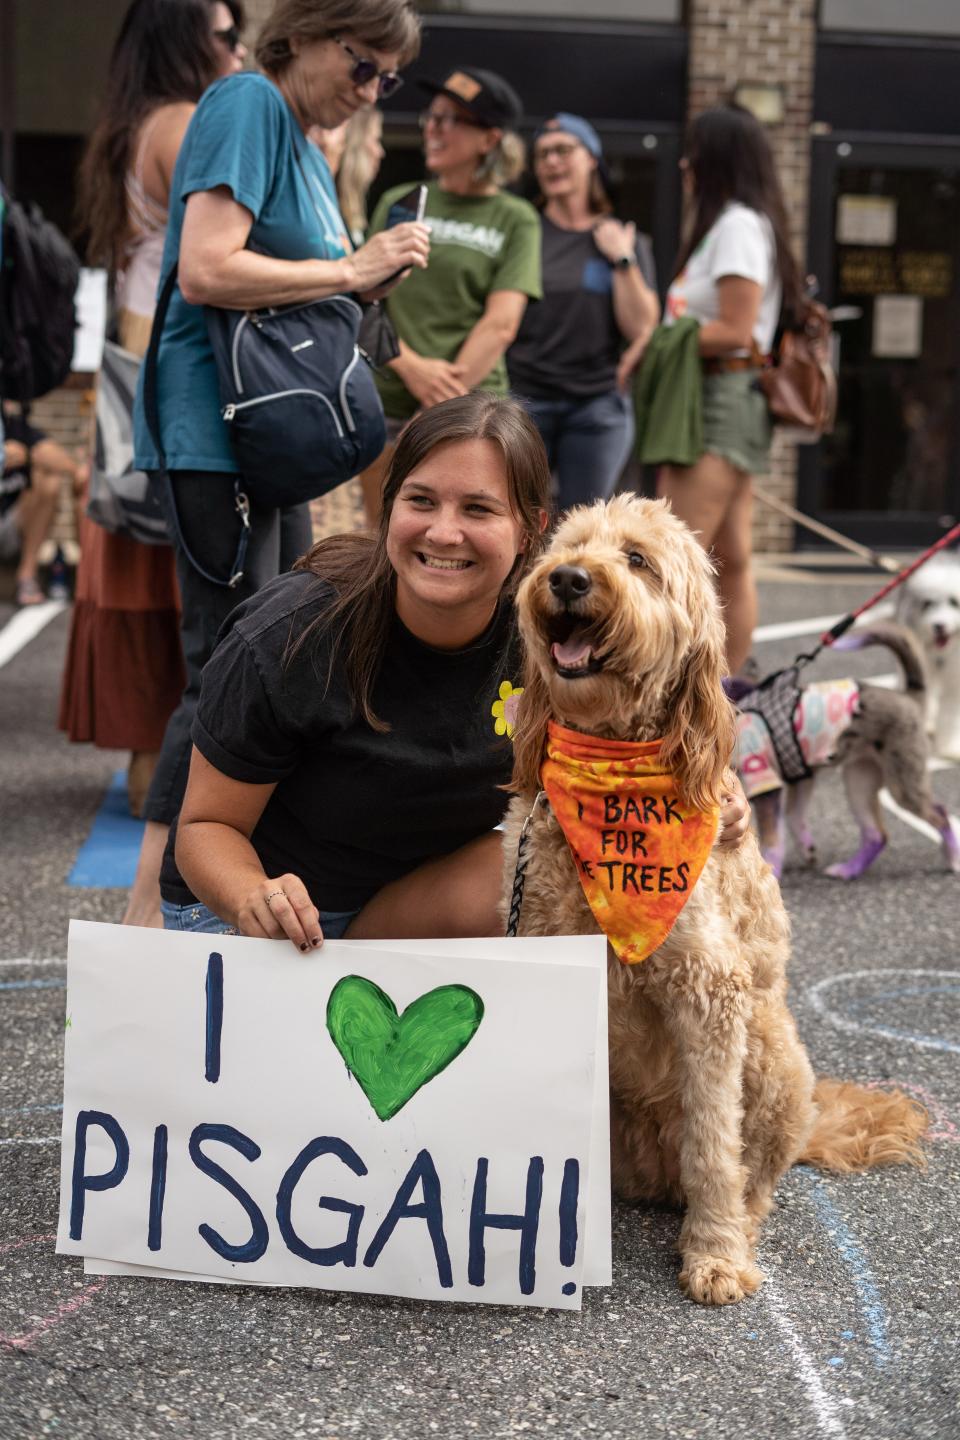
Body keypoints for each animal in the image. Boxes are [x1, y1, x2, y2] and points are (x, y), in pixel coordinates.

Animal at [506, 495, 926, 1307]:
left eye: (637, 560)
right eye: (566, 549)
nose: (568, 579)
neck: (615, 770)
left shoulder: (709, 990)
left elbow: (712, 1141)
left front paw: (716, 1255)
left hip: (774, 1053)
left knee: (747, 1171)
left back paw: (735, 1217)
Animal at [898, 550, 960, 760]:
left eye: (954, 602)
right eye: (928, 604)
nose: (938, 626)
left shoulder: (955, 677)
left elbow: (951, 712)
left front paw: (950, 748)